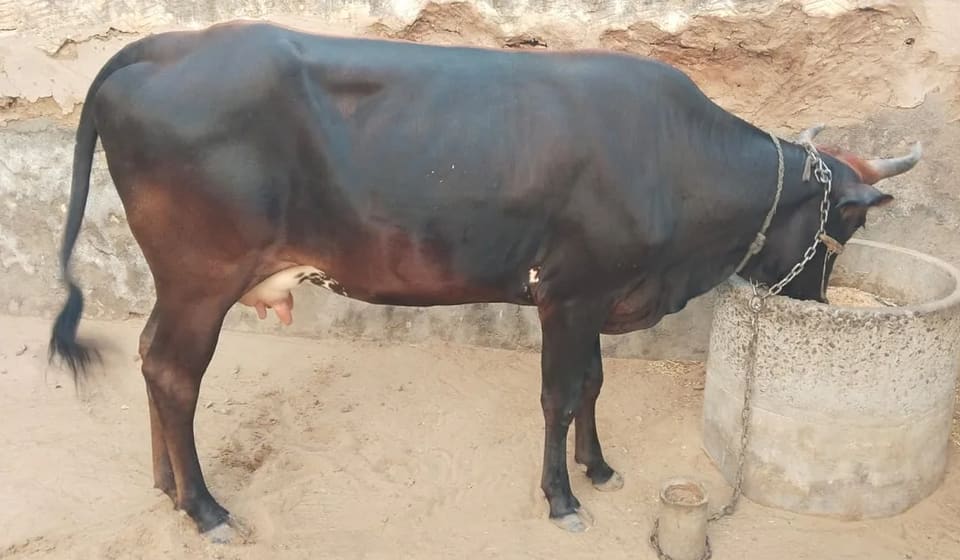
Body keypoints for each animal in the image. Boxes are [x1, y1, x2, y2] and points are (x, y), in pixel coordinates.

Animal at [47, 20, 922, 541]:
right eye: (847, 228)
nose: (814, 301)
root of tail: (165, 46)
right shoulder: (569, 292)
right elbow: (560, 394)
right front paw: (561, 499)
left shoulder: (592, 297)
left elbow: (593, 384)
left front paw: (599, 469)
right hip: (203, 276)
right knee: (174, 372)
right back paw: (204, 507)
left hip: (179, 283)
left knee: (153, 361)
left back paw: (167, 485)